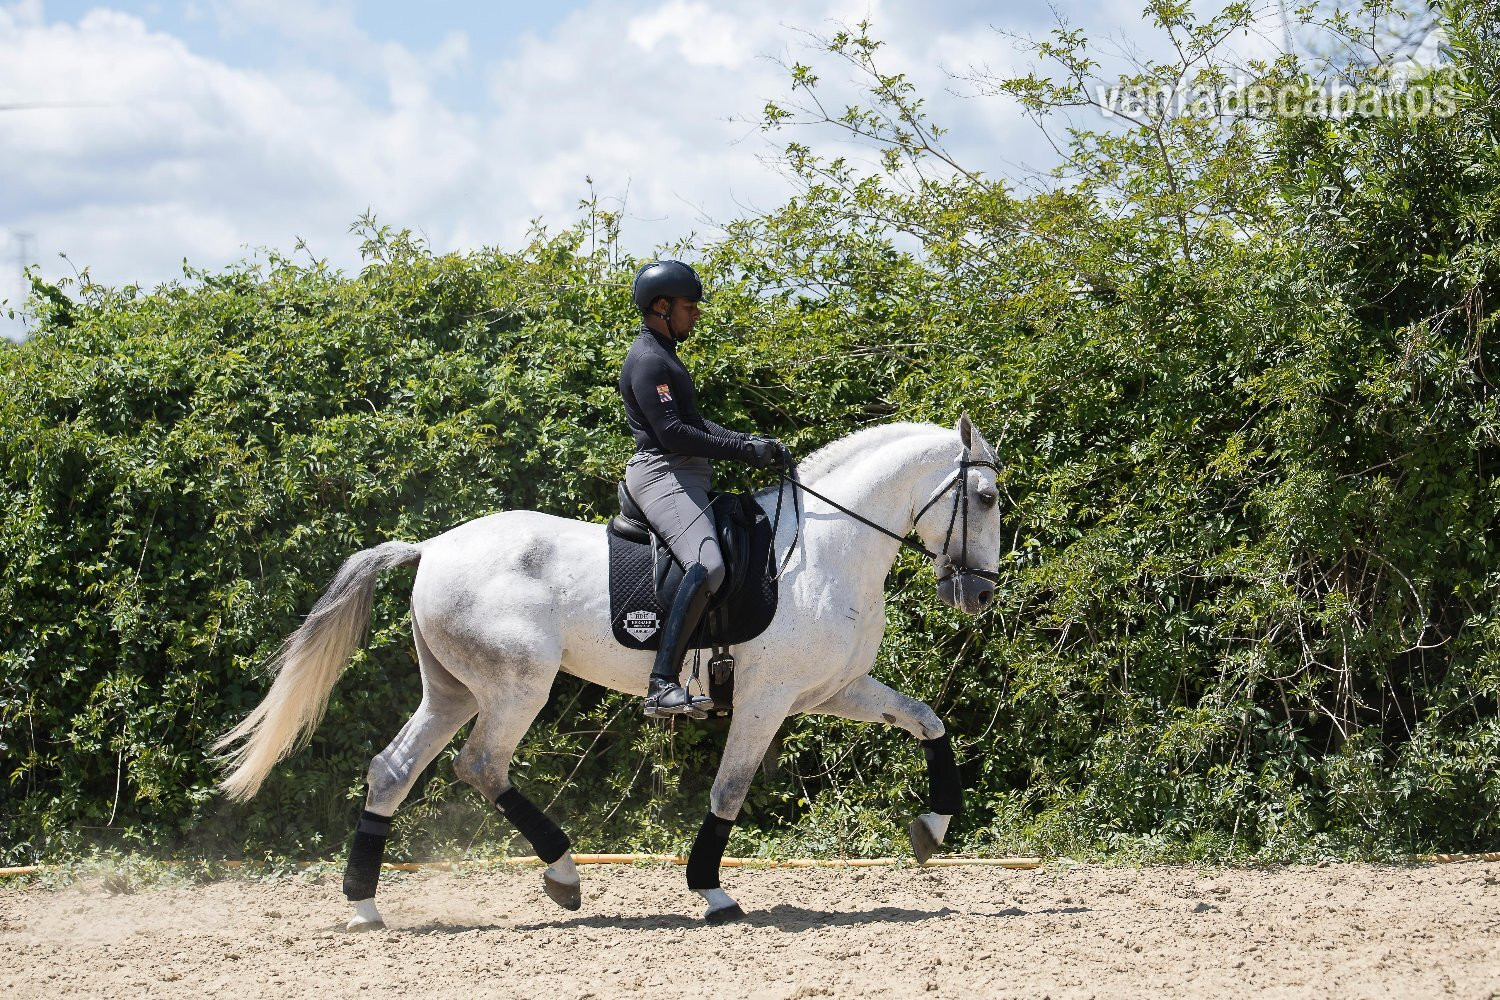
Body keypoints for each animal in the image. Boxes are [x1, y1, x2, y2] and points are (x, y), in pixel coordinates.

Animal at [214, 416, 1003, 929]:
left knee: (393, 770)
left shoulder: (833, 690)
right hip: (515, 687)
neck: (822, 550)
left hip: (453, 691)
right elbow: (730, 788)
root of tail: (432, 546)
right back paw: (563, 875)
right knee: (481, 766)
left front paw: (932, 828)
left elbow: (928, 720)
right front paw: (712, 893)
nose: (979, 595)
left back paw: (365, 905)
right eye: (988, 499)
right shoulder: (767, 697)